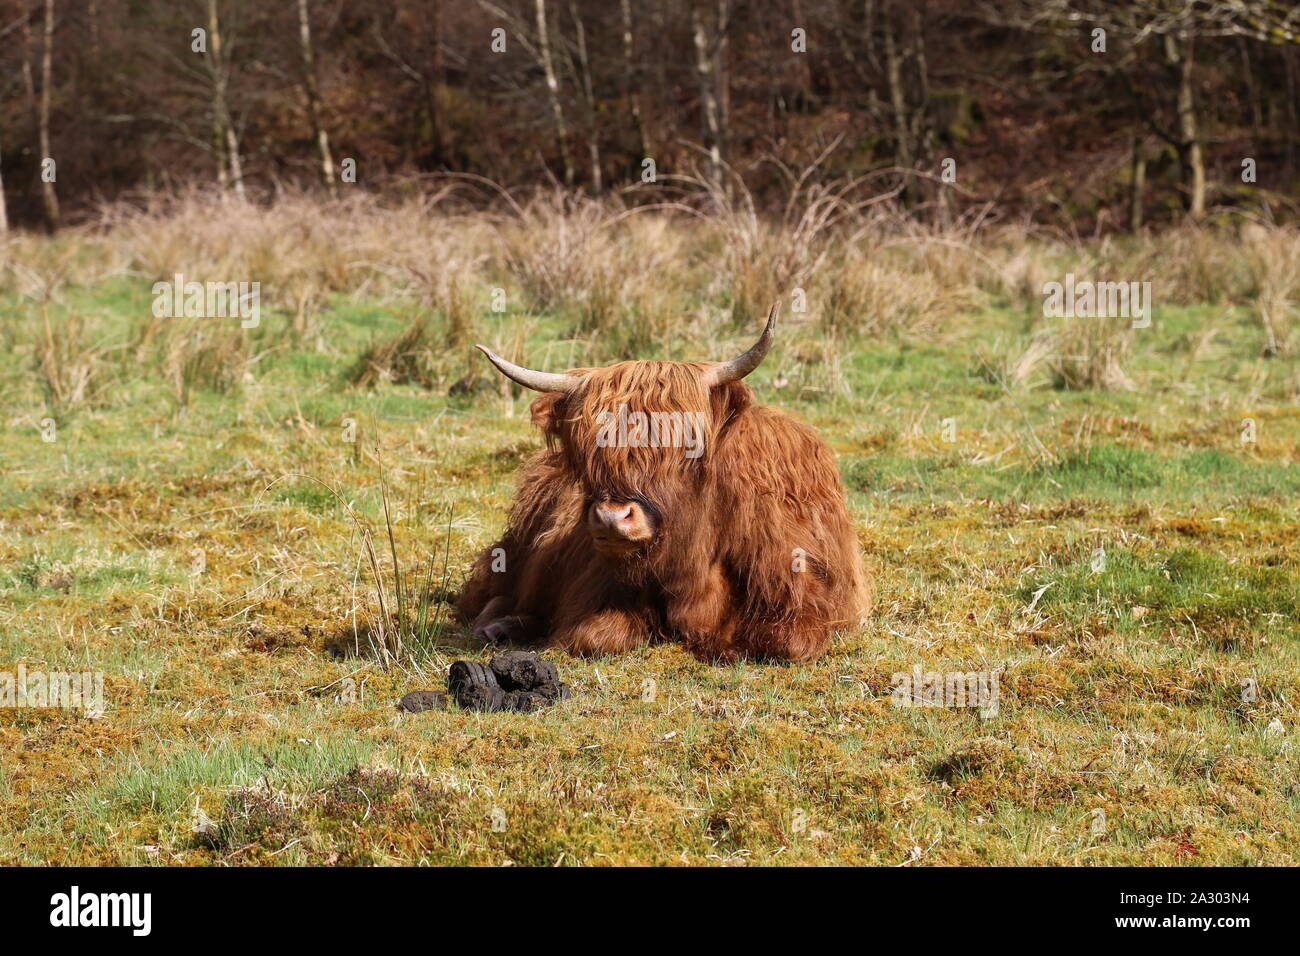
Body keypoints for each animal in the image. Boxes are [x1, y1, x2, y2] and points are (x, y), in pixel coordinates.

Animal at [457, 303, 869, 662]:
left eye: (686, 445)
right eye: (587, 451)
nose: (612, 518)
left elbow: (785, 642)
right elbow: (594, 636)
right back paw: (497, 627)